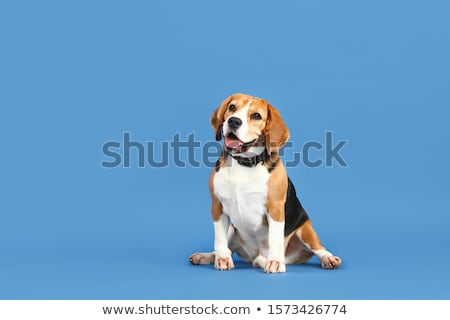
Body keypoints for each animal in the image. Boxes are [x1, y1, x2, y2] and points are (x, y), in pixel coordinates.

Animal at [189, 92, 342, 272]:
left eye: (256, 116)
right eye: (232, 107)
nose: (233, 121)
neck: (245, 162)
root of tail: (251, 255)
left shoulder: (275, 208)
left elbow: (275, 238)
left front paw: (275, 262)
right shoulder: (217, 206)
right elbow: (219, 240)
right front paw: (222, 259)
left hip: (305, 230)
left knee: (320, 248)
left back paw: (326, 258)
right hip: (233, 230)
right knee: (229, 246)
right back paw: (208, 256)